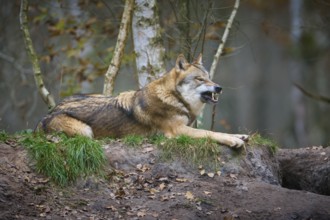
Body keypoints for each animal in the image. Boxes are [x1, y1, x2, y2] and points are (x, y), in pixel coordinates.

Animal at [36, 54, 248, 148]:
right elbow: (209, 133)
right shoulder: (178, 131)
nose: (219, 87)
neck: (174, 98)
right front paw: (233, 140)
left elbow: (215, 131)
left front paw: (240, 136)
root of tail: (46, 115)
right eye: (200, 79)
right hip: (85, 131)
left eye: (209, 78)